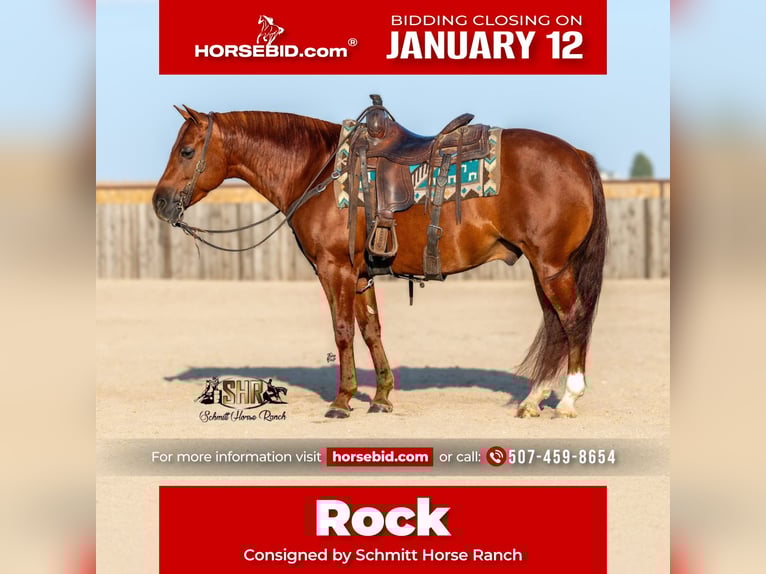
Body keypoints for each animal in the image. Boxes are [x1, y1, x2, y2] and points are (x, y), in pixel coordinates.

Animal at [152, 103, 608, 419]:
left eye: (187, 151)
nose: (160, 201)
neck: (316, 171)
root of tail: (578, 155)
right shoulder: (360, 274)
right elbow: (371, 331)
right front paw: (383, 397)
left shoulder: (333, 268)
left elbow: (342, 332)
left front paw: (342, 401)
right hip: (541, 266)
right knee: (555, 324)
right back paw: (533, 399)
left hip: (551, 266)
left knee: (572, 320)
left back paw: (568, 399)